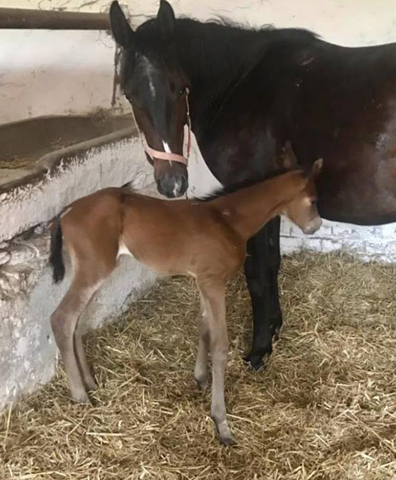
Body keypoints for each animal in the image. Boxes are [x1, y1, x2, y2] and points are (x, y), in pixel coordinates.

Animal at [48, 149, 322, 442]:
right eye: (314, 200)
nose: (315, 227)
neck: (228, 220)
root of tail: (67, 211)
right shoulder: (213, 281)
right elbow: (220, 344)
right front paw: (221, 422)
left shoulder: (203, 281)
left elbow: (204, 329)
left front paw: (201, 378)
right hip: (94, 269)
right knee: (62, 318)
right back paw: (80, 396)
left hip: (91, 272)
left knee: (77, 322)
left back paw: (90, 383)